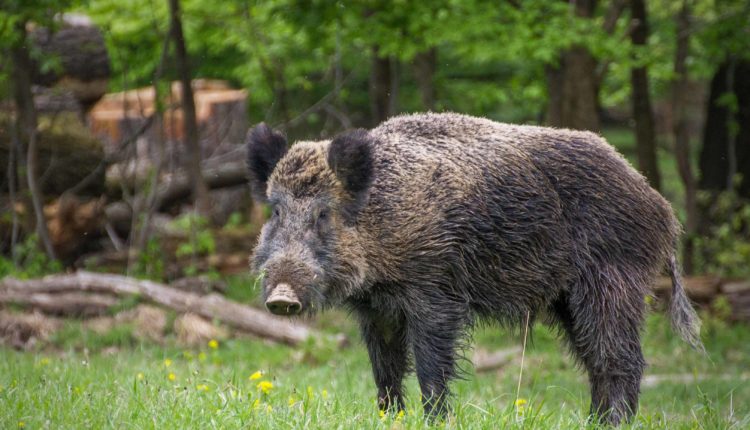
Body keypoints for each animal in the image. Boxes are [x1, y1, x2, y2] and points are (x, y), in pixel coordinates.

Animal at [246, 112, 702, 425]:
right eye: (275, 210)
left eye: (323, 214)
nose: (281, 297)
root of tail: (662, 209)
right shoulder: (377, 310)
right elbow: (385, 370)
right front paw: (389, 417)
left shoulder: (436, 291)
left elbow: (431, 366)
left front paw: (434, 421)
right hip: (568, 300)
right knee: (595, 360)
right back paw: (593, 421)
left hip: (612, 281)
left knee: (621, 358)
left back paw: (612, 422)